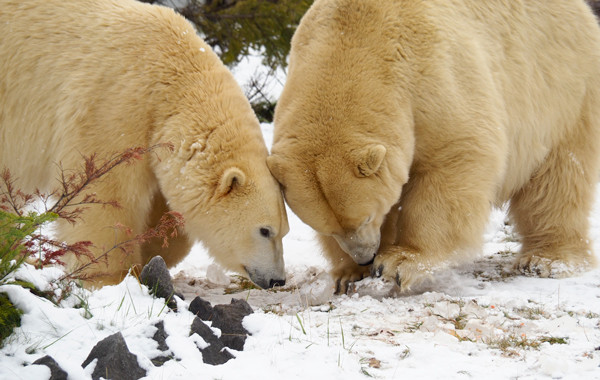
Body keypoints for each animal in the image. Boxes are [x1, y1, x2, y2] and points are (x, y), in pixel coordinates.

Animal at [0, 0, 288, 288]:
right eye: (265, 230)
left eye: (284, 231)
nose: (277, 280)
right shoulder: (113, 109)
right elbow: (107, 194)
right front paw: (112, 276)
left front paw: (151, 252)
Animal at [270, 0, 600, 294]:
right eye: (330, 228)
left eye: (365, 217)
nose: (365, 257)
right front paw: (348, 274)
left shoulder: (435, 77)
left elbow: (455, 157)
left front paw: (400, 261)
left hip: (563, 92)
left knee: (556, 181)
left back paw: (547, 259)